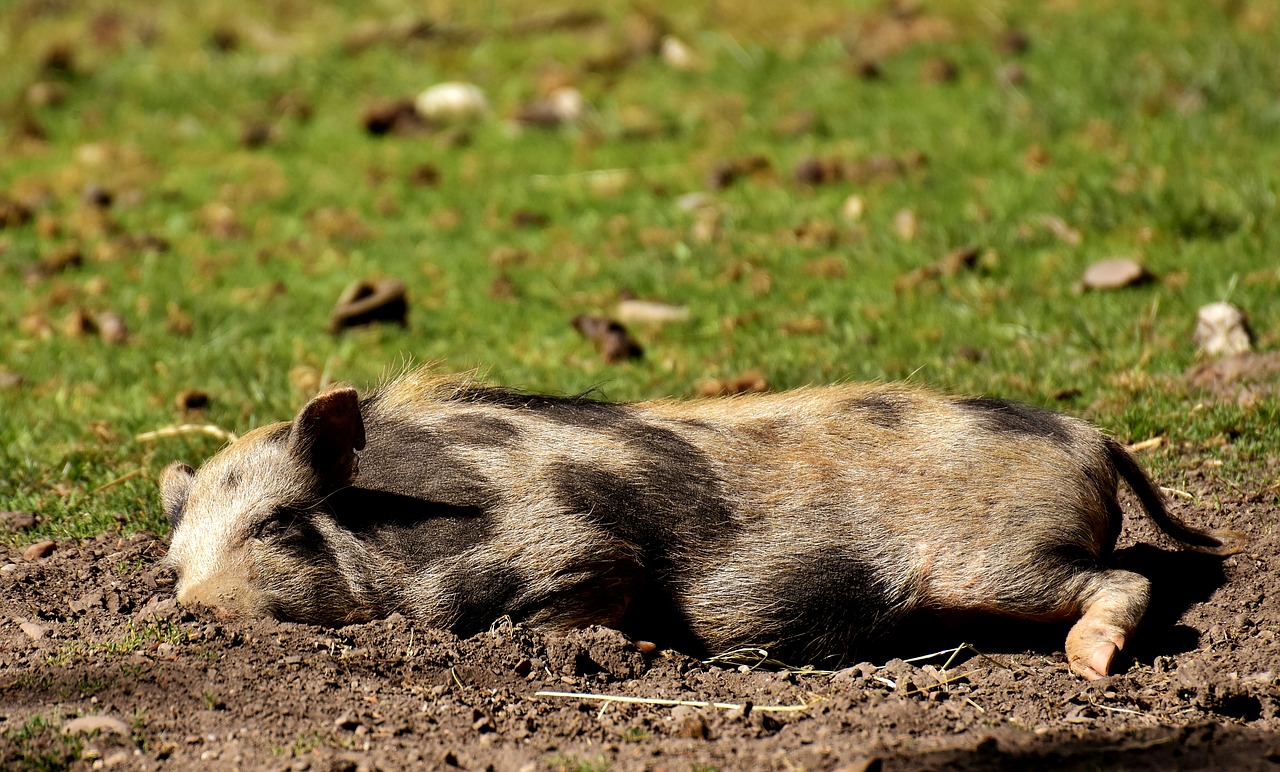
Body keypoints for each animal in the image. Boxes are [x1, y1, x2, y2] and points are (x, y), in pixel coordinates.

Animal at [162, 371, 1249, 681]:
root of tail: (1088, 433)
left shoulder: (580, 547)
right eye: (173, 560)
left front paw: (632, 652)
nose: (188, 609)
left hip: (1004, 557)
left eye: (277, 522)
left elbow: (570, 602)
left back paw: (1091, 668)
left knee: (1127, 582)